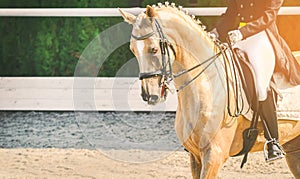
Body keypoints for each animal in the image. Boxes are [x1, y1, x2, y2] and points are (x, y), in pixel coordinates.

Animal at [120, 3, 300, 178]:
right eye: (133, 50)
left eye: (154, 49)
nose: (149, 95)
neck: (207, 86)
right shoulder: (195, 156)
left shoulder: (214, 156)